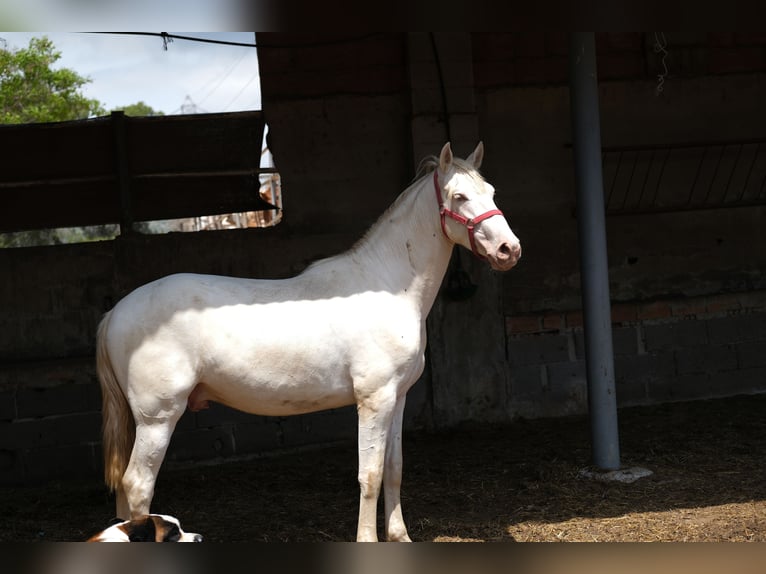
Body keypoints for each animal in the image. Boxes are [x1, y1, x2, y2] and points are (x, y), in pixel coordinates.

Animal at [97, 142, 520, 544]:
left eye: (492, 192)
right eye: (459, 196)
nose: (509, 249)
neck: (388, 286)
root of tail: (114, 314)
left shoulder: (397, 398)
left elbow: (394, 469)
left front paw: (400, 535)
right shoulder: (374, 400)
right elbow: (370, 475)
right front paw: (367, 539)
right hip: (157, 419)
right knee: (138, 484)